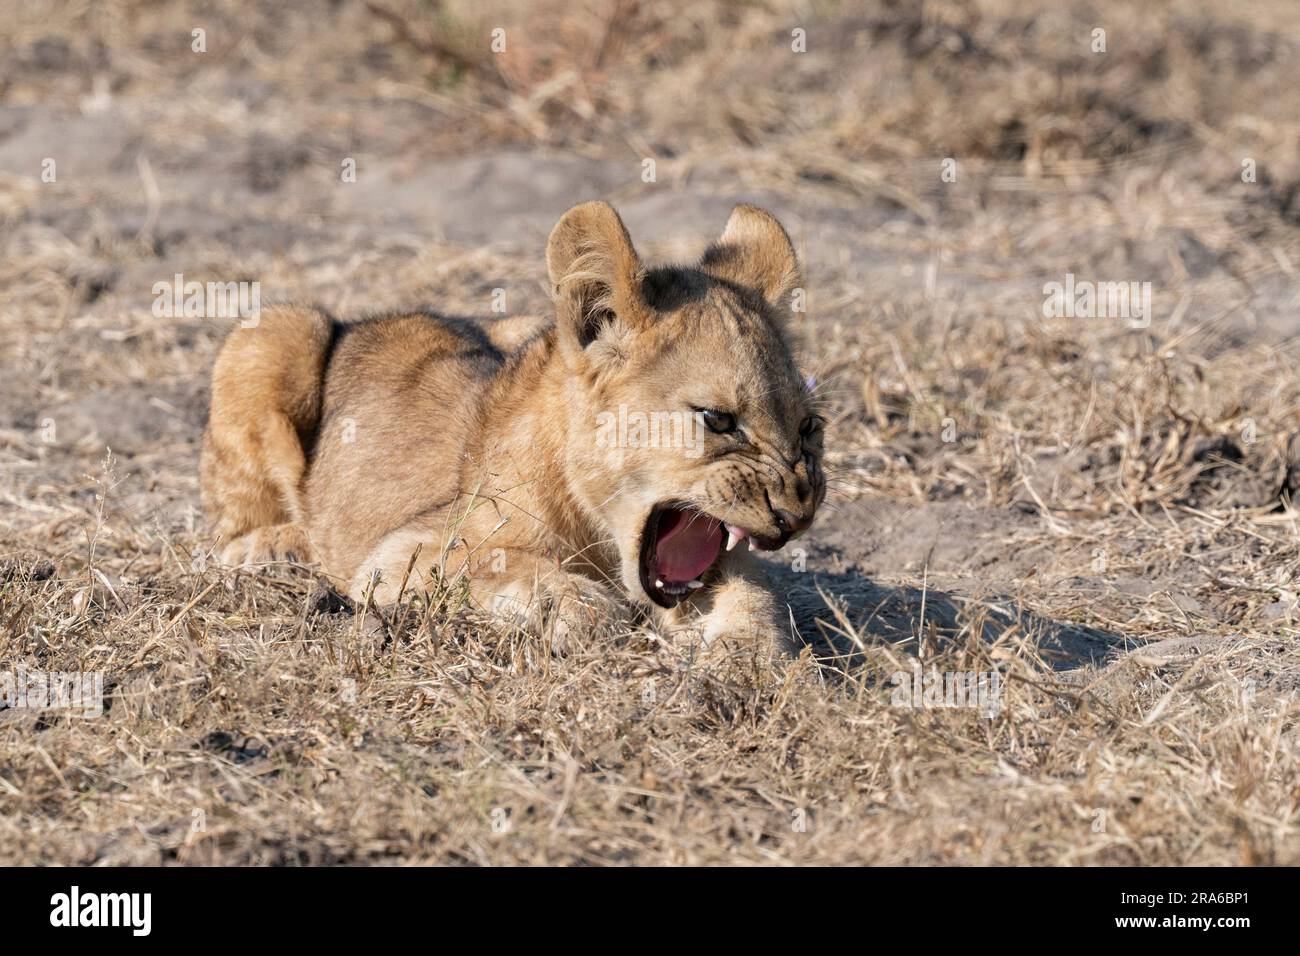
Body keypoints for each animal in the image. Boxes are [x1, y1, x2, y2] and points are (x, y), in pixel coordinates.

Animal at [200, 201, 826, 652]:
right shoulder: (399, 554)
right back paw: (273, 548)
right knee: (229, 531)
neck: (600, 531)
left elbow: (755, 589)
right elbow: (507, 566)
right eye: (718, 420)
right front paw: (581, 607)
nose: (795, 518)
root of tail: (365, 320)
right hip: (274, 329)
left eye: (808, 426)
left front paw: (750, 654)